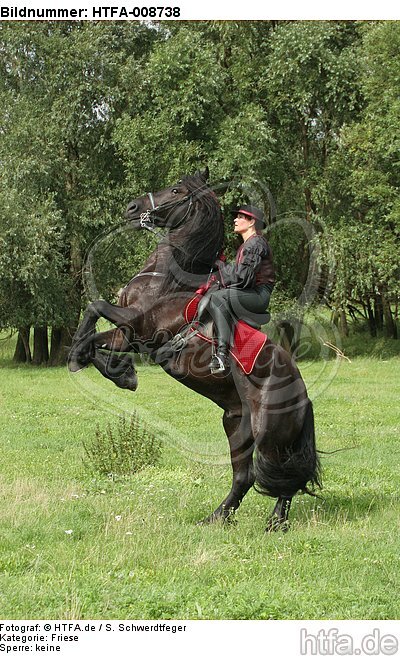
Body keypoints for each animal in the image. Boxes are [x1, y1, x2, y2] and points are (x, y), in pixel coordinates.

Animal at [68, 169, 321, 531]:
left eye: (176, 190)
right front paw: (119, 373)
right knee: (245, 476)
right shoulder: (129, 336)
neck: (165, 279)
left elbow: (94, 308)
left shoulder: (138, 324)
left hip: (269, 432)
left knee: (284, 475)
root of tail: (303, 394)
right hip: (236, 425)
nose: (132, 208)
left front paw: (87, 361)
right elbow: (95, 340)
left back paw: (275, 523)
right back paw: (217, 518)